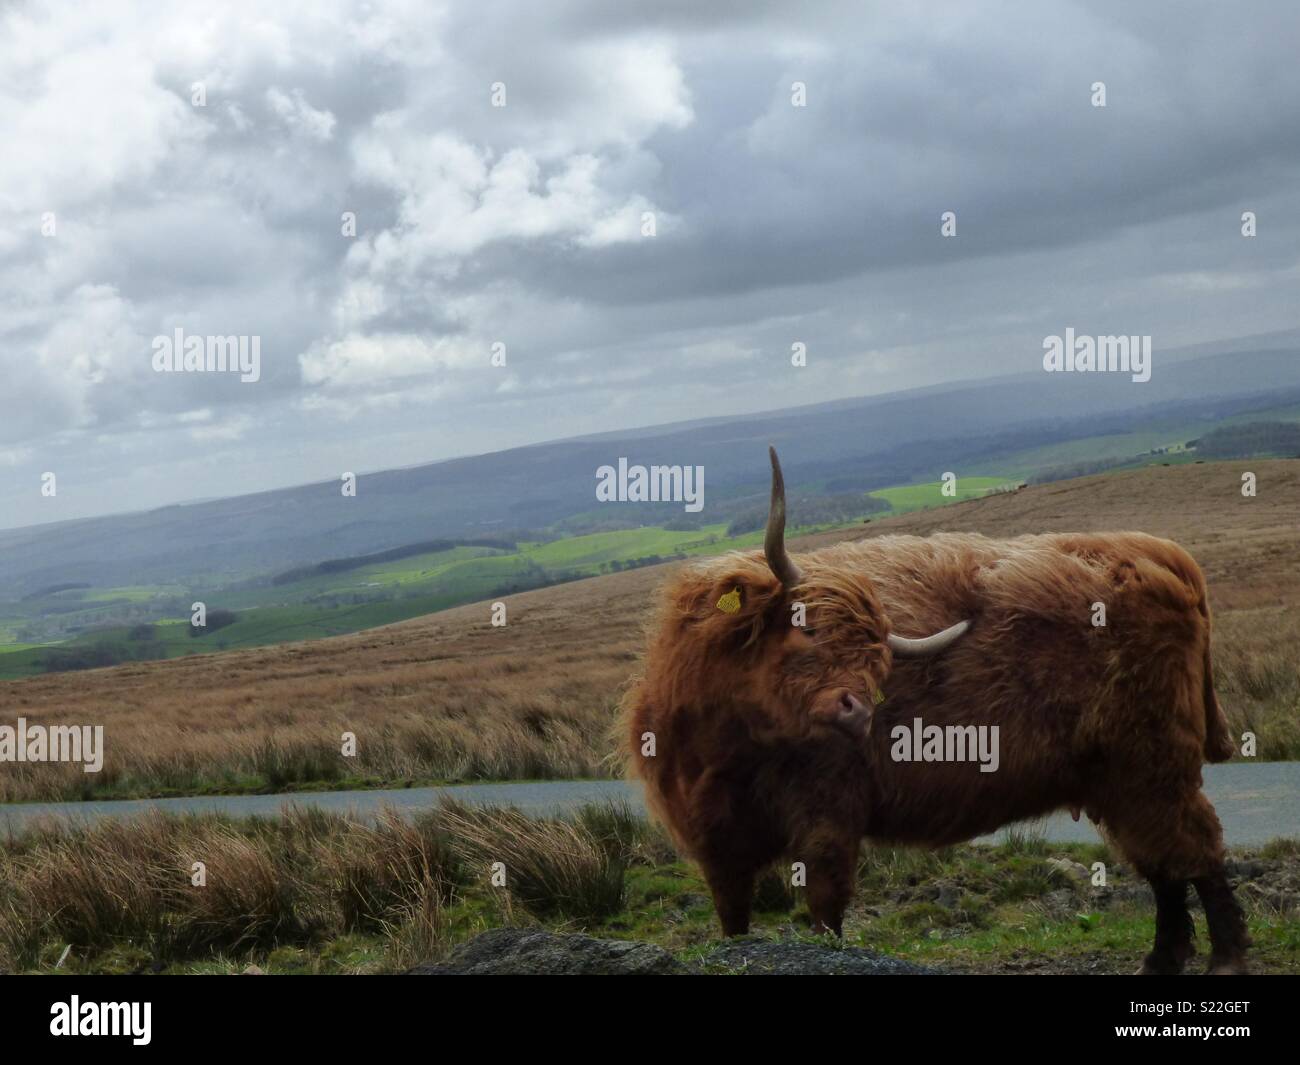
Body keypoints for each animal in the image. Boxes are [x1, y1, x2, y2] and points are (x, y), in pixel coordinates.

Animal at [624, 447, 1253, 972]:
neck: (728, 750)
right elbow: (732, 922)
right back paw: (1161, 963)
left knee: (1196, 851)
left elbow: (826, 911)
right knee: (1162, 865)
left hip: (1152, 765)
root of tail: (1156, 550)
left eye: (878, 663)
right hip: (1116, 781)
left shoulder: (829, 816)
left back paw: (1225, 959)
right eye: (804, 628)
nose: (857, 713)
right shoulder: (714, 843)